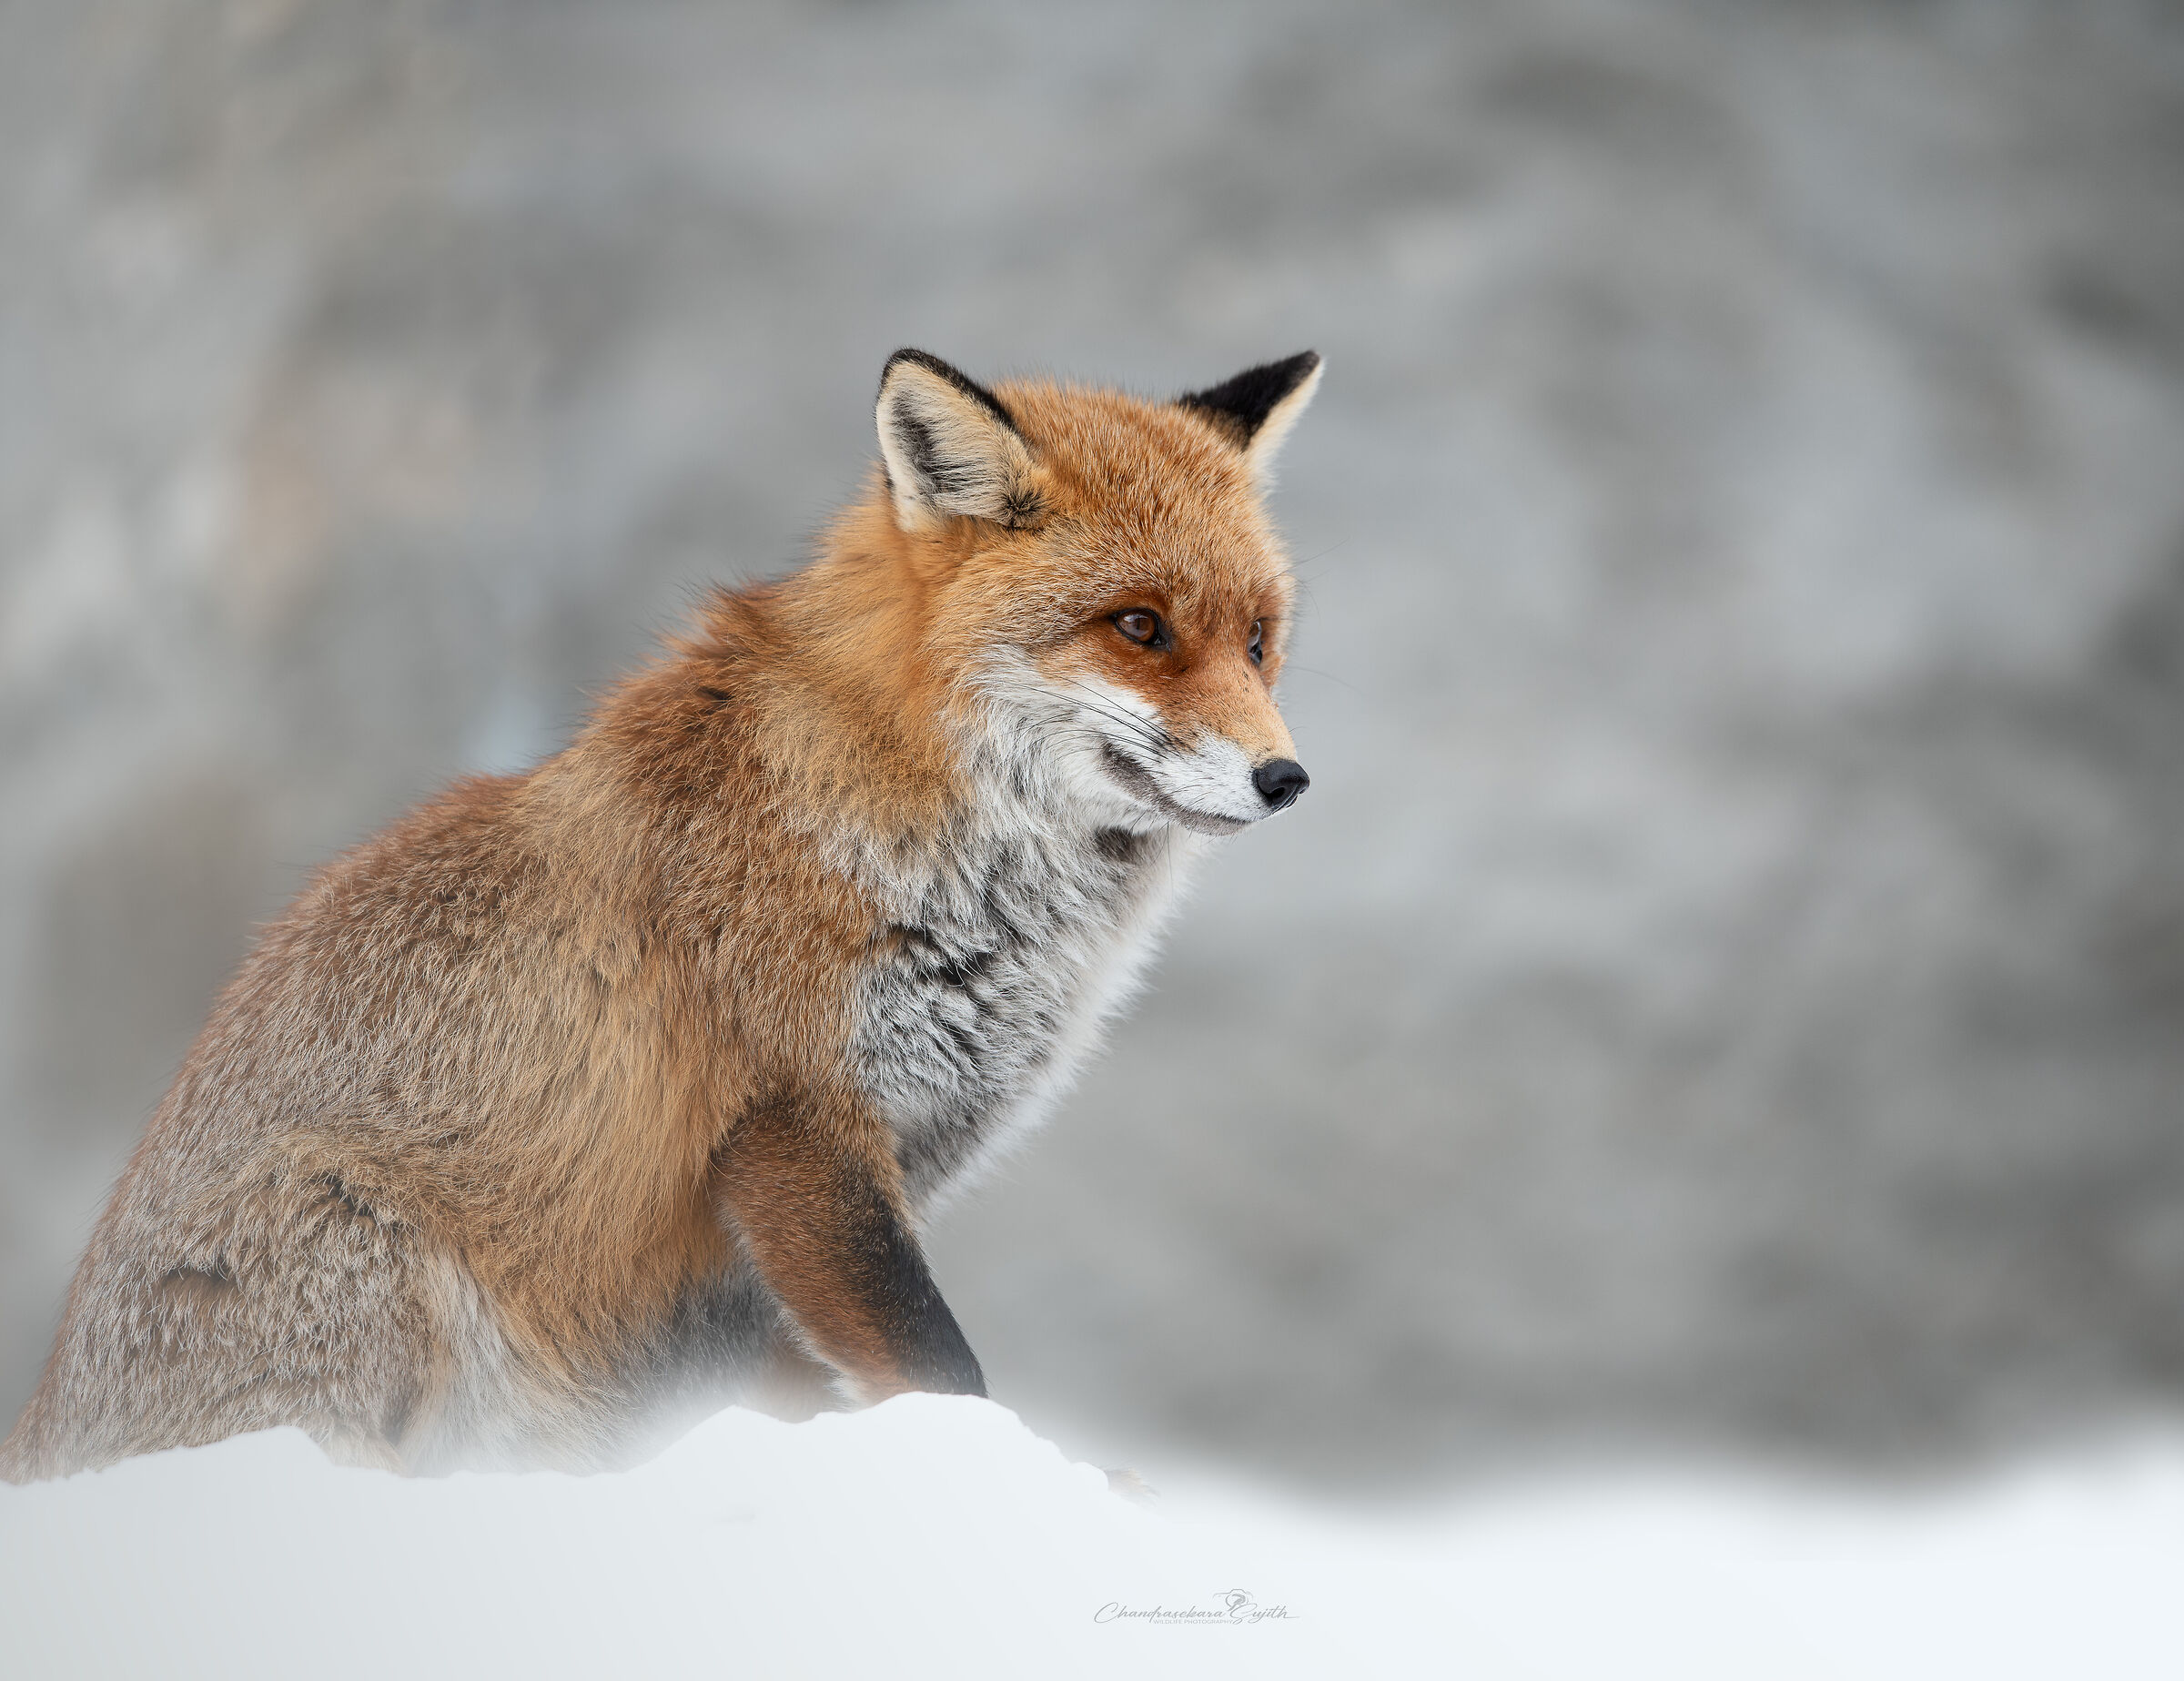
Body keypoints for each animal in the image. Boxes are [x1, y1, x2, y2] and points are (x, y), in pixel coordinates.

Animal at [0, 347, 1321, 1481]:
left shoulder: (850, 1197)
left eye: (1260, 641)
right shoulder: (792, 1126)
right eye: (1139, 625)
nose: (1286, 779)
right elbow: (943, 1369)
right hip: (375, 1248)